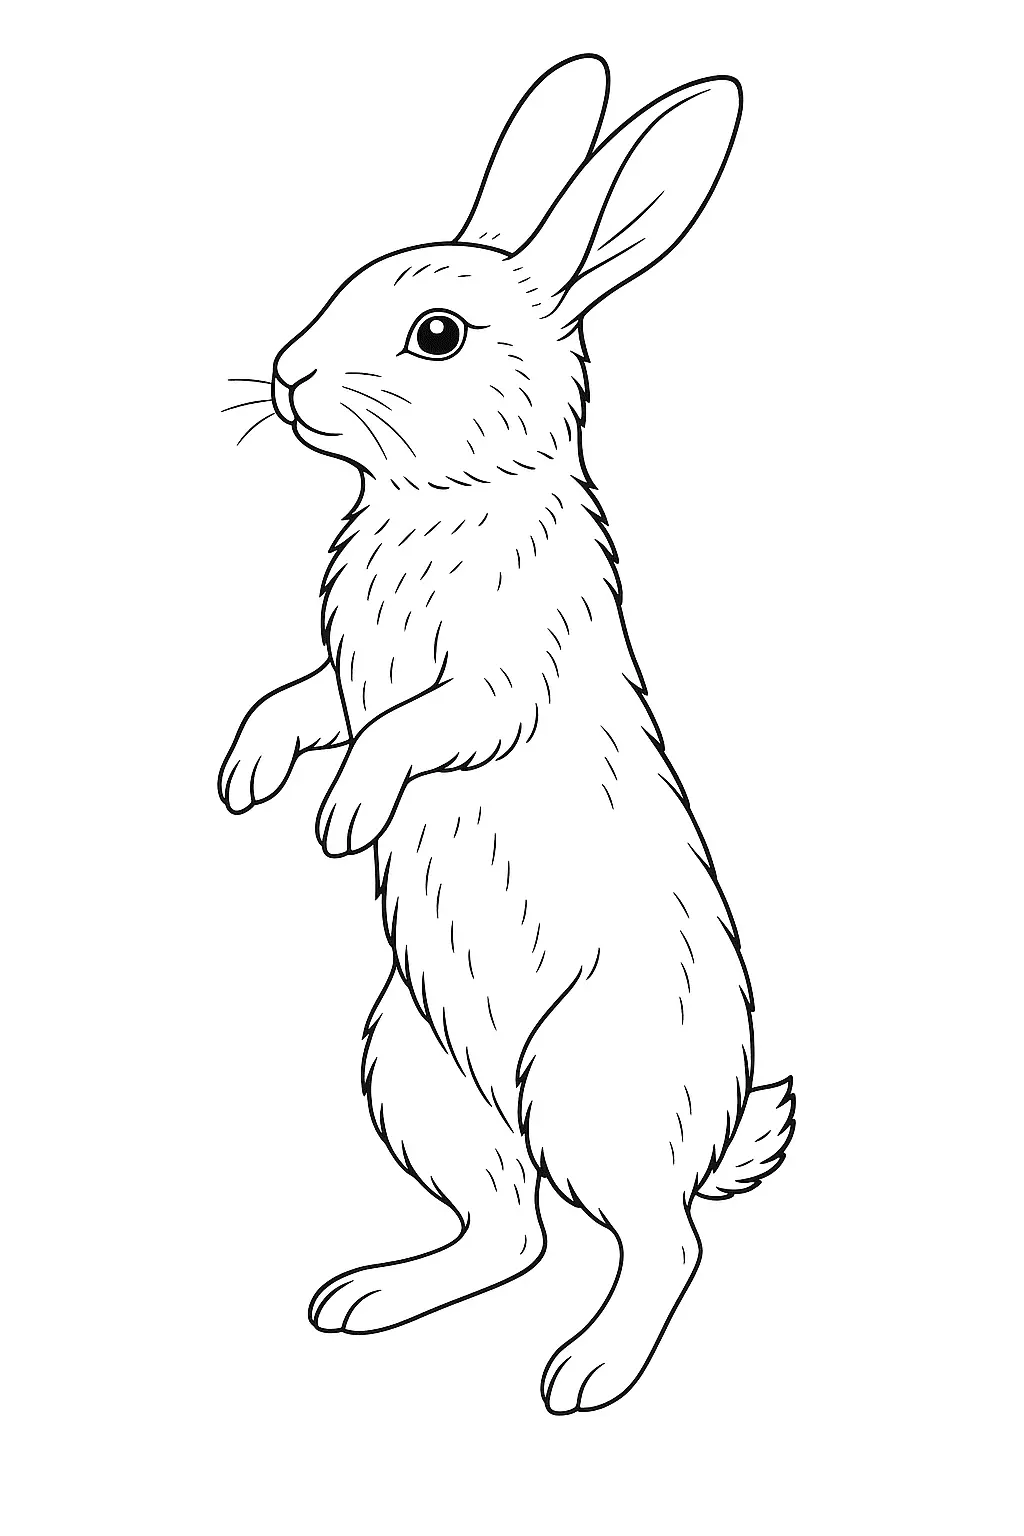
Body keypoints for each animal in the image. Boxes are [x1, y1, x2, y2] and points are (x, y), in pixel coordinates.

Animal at [218, 54, 794, 1415]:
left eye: (436, 334)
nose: (285, 374)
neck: (446, 500)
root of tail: (713, 1129)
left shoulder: (493, 687)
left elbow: (410, 730)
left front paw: (342, 818)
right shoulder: (344, 676)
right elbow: (302, 702)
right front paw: (248, 777)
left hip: (588, 1086)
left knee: (660, 1241)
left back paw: (586, 1374)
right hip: (417, 1071)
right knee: (512, 1230)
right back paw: (363, 1300)